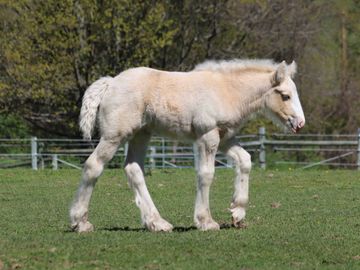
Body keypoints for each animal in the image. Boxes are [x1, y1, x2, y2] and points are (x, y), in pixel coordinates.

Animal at [71, 59, 306, 232]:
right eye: (286, 96)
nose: (300, 123)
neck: (227, 90)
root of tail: (110, 83)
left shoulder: (225, 137)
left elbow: (245, 161)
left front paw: (237, 212)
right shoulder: (207, 136)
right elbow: (206, 174)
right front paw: (206, 221)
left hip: (141, 134)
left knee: (134, 170)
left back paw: (157, 223)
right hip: (115, 135)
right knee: (93, 165)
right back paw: (79, 222)